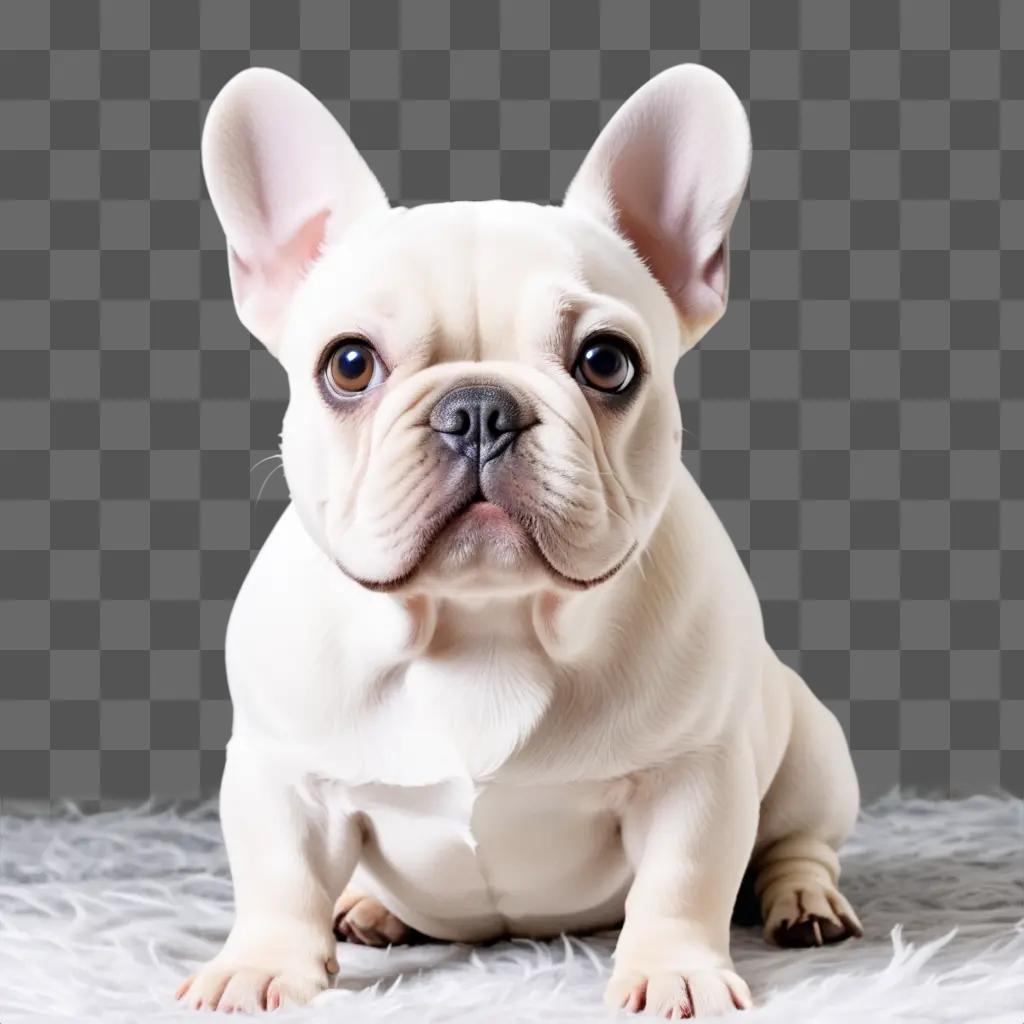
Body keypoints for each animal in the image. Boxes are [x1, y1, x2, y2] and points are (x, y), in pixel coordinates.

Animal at [178, 66, 864, 1015]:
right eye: (348, 365)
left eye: (607, 362)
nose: (478, 409)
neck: (483, 623)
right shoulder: (281, 775)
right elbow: (279, 874)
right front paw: (260, 966)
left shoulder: (694, 777)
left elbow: (684, 877)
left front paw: (675, 971)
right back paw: (369, 907)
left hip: (812, 754)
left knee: (798, 841)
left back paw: (804, 901)